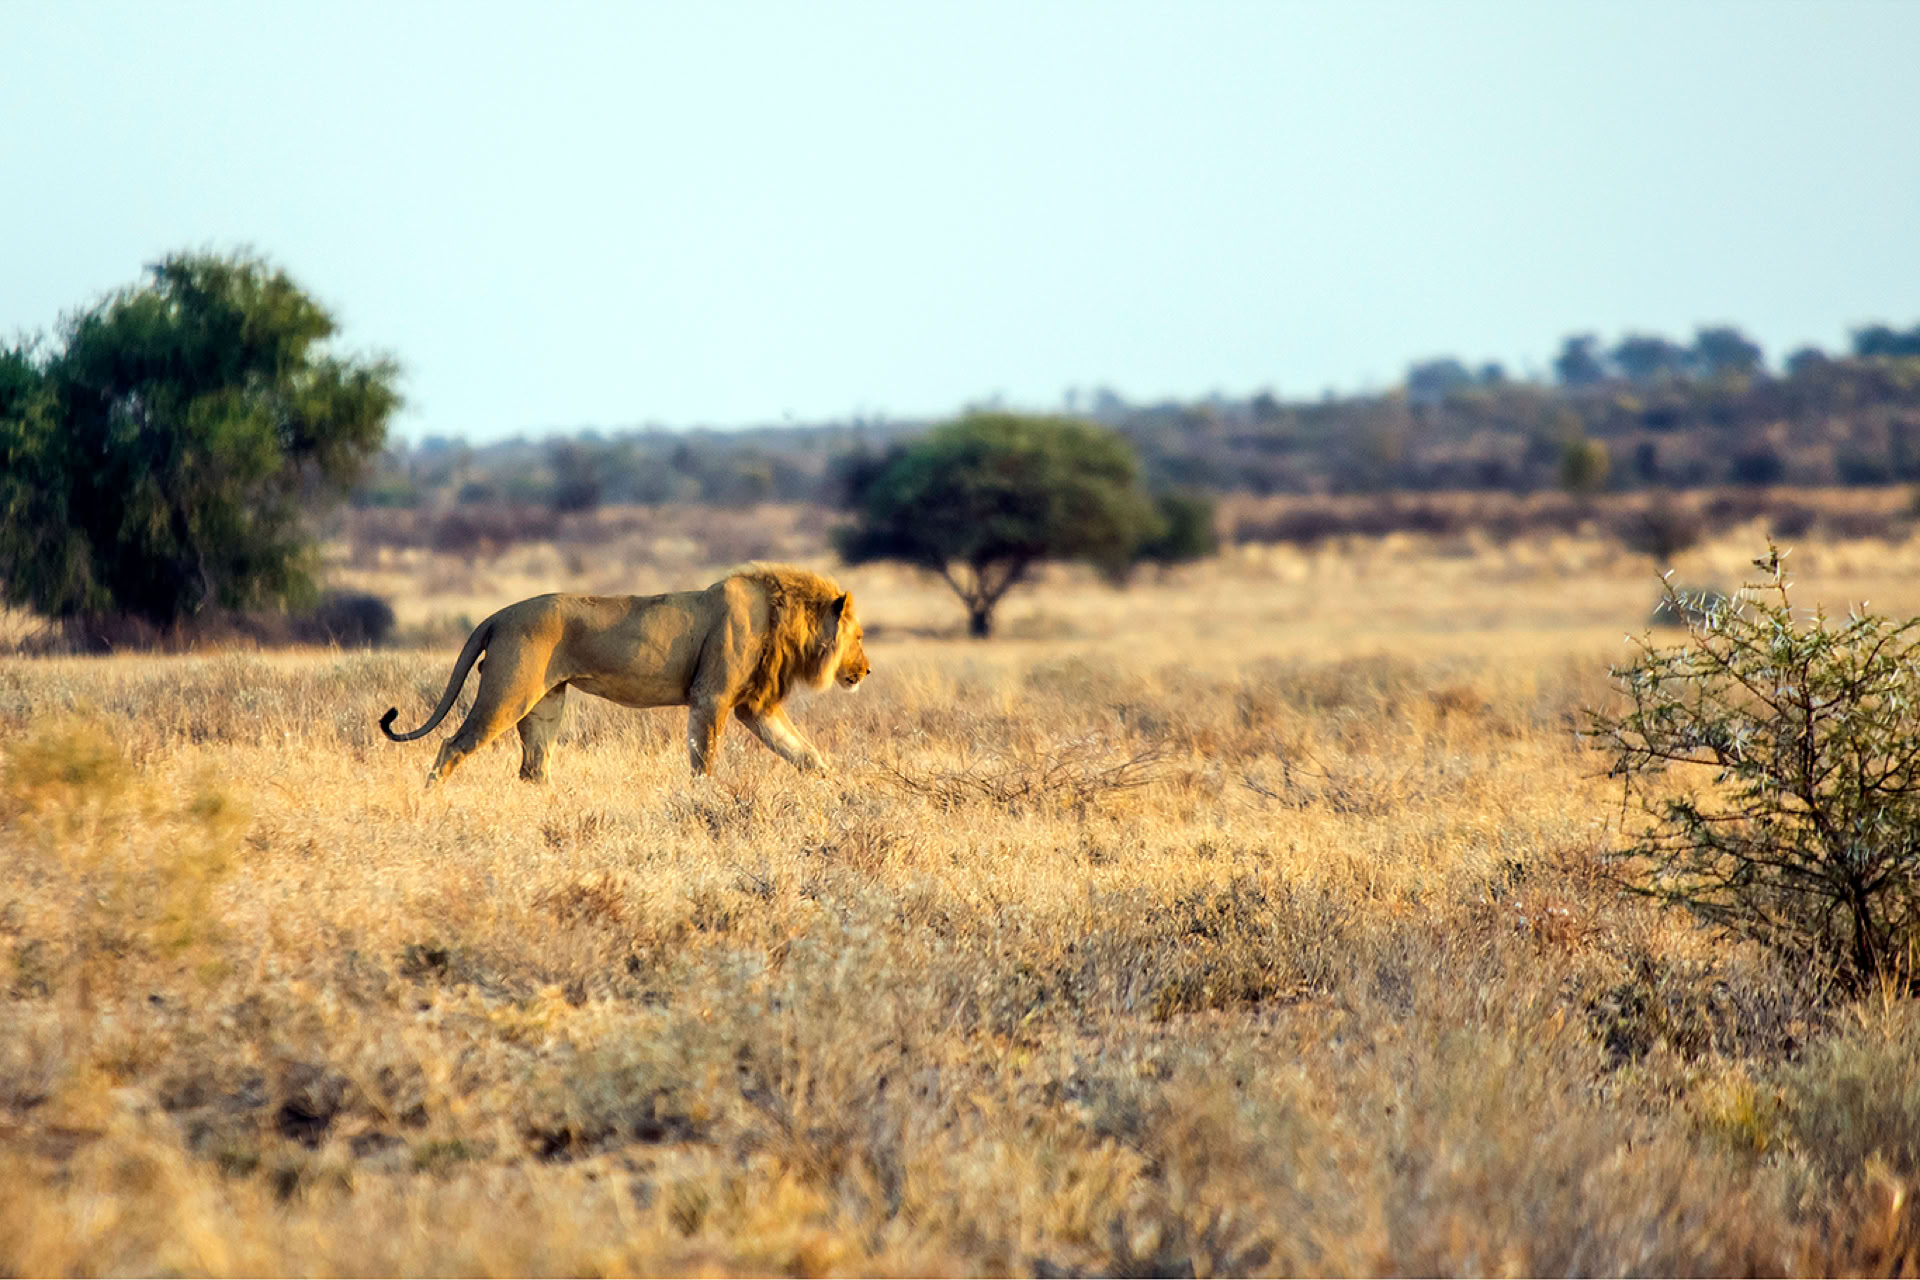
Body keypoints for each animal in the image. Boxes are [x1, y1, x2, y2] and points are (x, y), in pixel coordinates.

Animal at [379, 564, 867, 786]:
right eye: (860, 636)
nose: (865, 670)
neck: (783, 618)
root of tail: (499, 614)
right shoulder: (710, 697)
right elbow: (703, 759)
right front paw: (703, 799)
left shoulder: (753, 705)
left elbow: (803, 751)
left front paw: (836, 786)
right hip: (508, 693)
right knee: (452, 745)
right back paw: (430, 802)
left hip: (545, 702)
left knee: (533, 766)